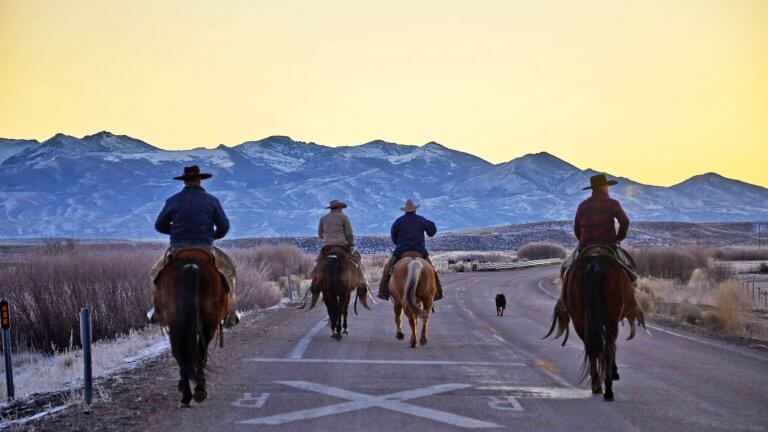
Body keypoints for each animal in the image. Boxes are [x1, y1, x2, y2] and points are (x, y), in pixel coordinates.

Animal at [153, 248, 228, 406]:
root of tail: (191, 266)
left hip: (176, 322)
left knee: (182, 351)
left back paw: (187, 394)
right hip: (208, 326)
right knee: (199, 351)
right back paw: (198, 390)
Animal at [544, 248, 648, 404]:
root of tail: (594, 266)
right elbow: (612, 346)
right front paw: (614, 372)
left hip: (580, 320)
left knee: (591, 346)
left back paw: (597, 384)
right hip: (610, 319)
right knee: (608, 346)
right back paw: (608, 390)